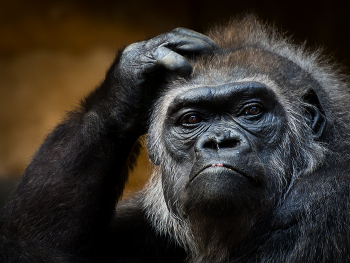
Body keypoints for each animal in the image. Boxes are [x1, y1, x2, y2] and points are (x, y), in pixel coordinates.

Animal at [0, 14, 350, 263]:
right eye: (192, 119)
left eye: (252, 111)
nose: (219, 140)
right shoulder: (144, 224)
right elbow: (30, 246)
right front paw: (134, 74)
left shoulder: (323, 200)